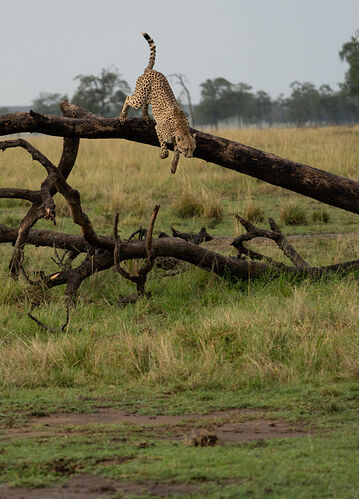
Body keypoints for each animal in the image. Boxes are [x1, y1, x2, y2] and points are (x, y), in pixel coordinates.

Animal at [119, 33, 195, 174]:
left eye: (193, 149)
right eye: (187, 149)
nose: (190, 156)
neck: (181, 127)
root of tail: (150, 70)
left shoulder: (176, 141)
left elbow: (177, 153)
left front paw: (173, 166)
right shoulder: (159, 129)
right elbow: (165, 148)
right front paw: (162, 155)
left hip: (148, 97)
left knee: (145, 104)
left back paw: (145, 116)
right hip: (140, 96)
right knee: (128, 98)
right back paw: (122, 116)